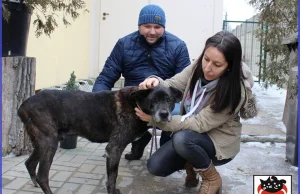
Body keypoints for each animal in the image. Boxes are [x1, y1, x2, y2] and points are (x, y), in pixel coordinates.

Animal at [18, 85, 183, 194]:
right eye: (153, 100)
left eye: (169, 100)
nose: (164, 114)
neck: (135, 103)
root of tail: (23, 105)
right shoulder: (114, 148)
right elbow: (112, 176)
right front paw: (112, 191)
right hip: (49, 143)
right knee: (42, 176)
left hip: (43, 143)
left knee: (29, 163)